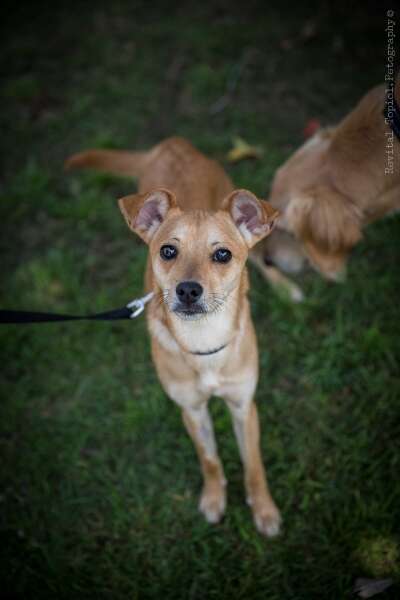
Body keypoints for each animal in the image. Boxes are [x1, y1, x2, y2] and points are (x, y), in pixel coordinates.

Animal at [66, 137, 281, 536]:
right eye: (168, 251)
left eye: (223, 254)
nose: (188, 290)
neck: (203, 343)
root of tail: (172, 144)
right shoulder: (191, 410)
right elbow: (209, 459)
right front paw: (214, 499)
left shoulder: (243, 406)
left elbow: (254, 464)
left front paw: (264, 509)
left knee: (263, 259)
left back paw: (287, 289)